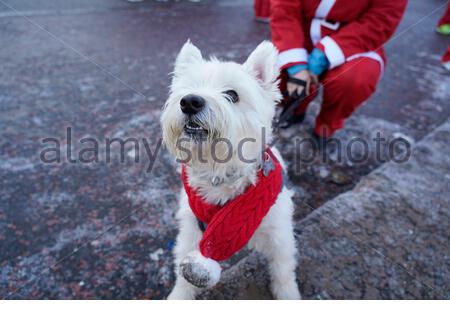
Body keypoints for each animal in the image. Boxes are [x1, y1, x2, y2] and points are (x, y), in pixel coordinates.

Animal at [160, 40, 300, 300]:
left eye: (232, 95)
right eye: (189, 88)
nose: (190, 101)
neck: (219, 173)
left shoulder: (279, 235)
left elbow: (283, 268)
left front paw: (288, 295)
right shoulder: (192, 233)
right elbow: (183, 275)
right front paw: (178, 296)